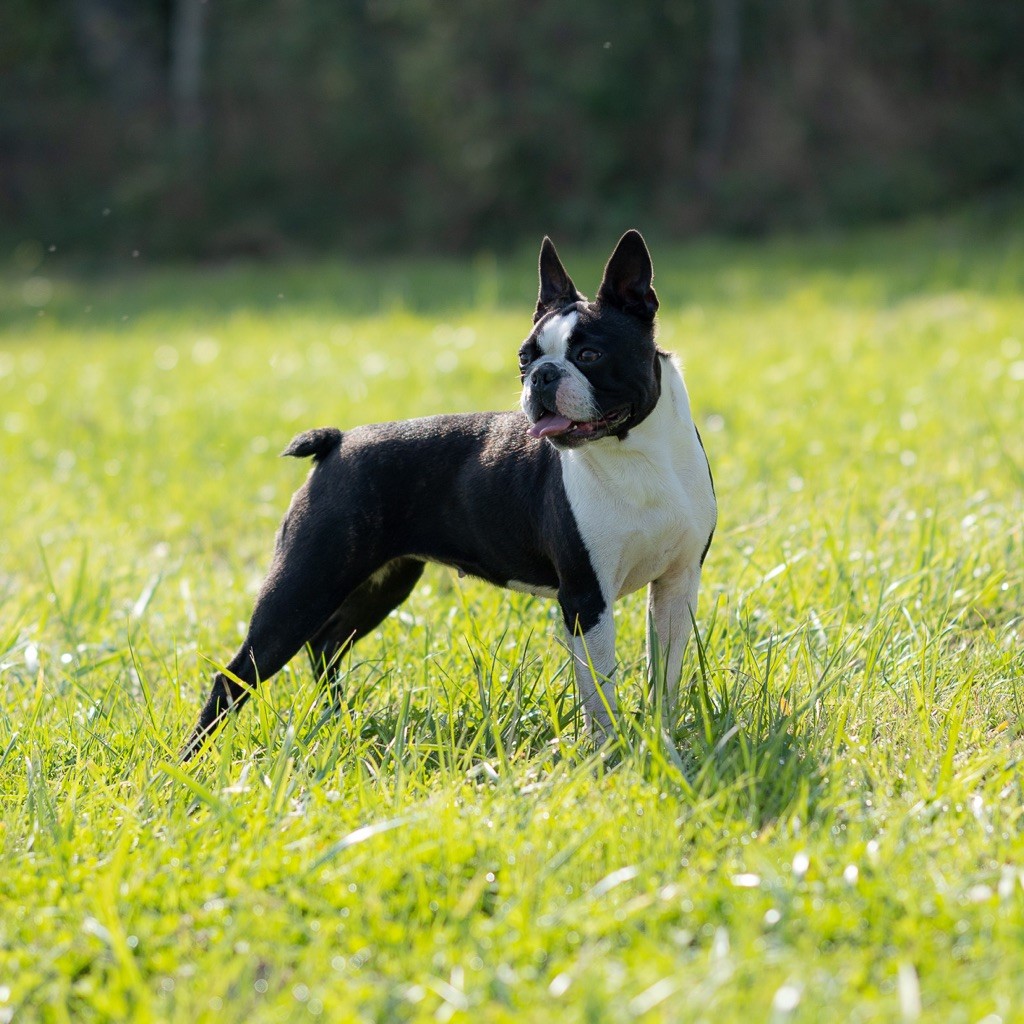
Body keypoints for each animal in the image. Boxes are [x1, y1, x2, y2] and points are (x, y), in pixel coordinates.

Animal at [180, 234, 716, 761]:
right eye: (524, 358)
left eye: (589, 356)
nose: (542, 374)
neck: (636, 454)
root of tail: (339, 442)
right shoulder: (587, 597)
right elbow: (599, 689)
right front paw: (611, 752)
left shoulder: (676, 585)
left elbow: (665, 674)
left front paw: (662, 737)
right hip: (303, 584)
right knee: (235, 676)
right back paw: (189, 760)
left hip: (381, 584)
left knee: (327, 644)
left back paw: (338, 720)